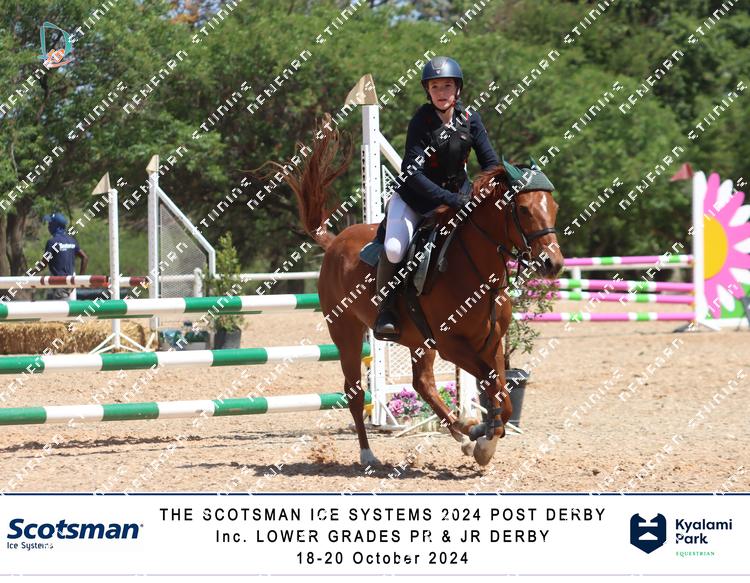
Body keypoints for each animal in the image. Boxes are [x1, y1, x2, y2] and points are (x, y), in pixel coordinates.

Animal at [277, 116, 563, 467]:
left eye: (554, 206)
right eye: (523, 209)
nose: (553, 263)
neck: (476, 273)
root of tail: (334, 243)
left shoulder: (492, 341)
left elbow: (502, 395)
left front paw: (483, 439)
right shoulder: (452, 346)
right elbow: (491, 386)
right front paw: (484, 441)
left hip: (417, 339)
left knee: (423, 384)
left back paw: (462, 434)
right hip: (346, 332)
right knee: (356, 392)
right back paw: (368, 454)